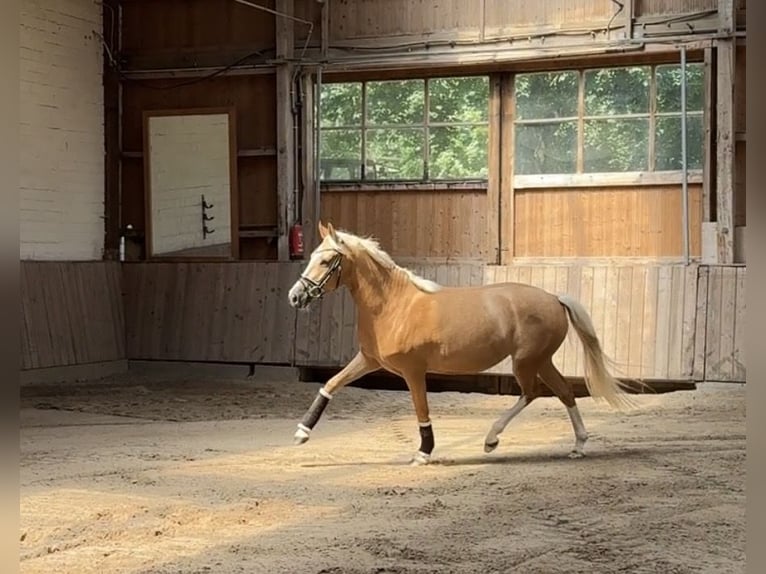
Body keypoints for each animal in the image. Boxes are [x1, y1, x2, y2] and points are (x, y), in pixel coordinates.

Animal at [287, 221, 635, 465]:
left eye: (327, 261)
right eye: (312, 257)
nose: (295, 296)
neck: (393, 305)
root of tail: (553, 298)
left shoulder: (413, 370)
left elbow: (421, 408)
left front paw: (423, 453)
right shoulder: (370, 360)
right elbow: (331, 384)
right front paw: (301, 433)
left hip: (526, 361)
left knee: (533, 392)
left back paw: (492, 439)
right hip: (541, 360)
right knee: (563, 392)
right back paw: (577, 445)